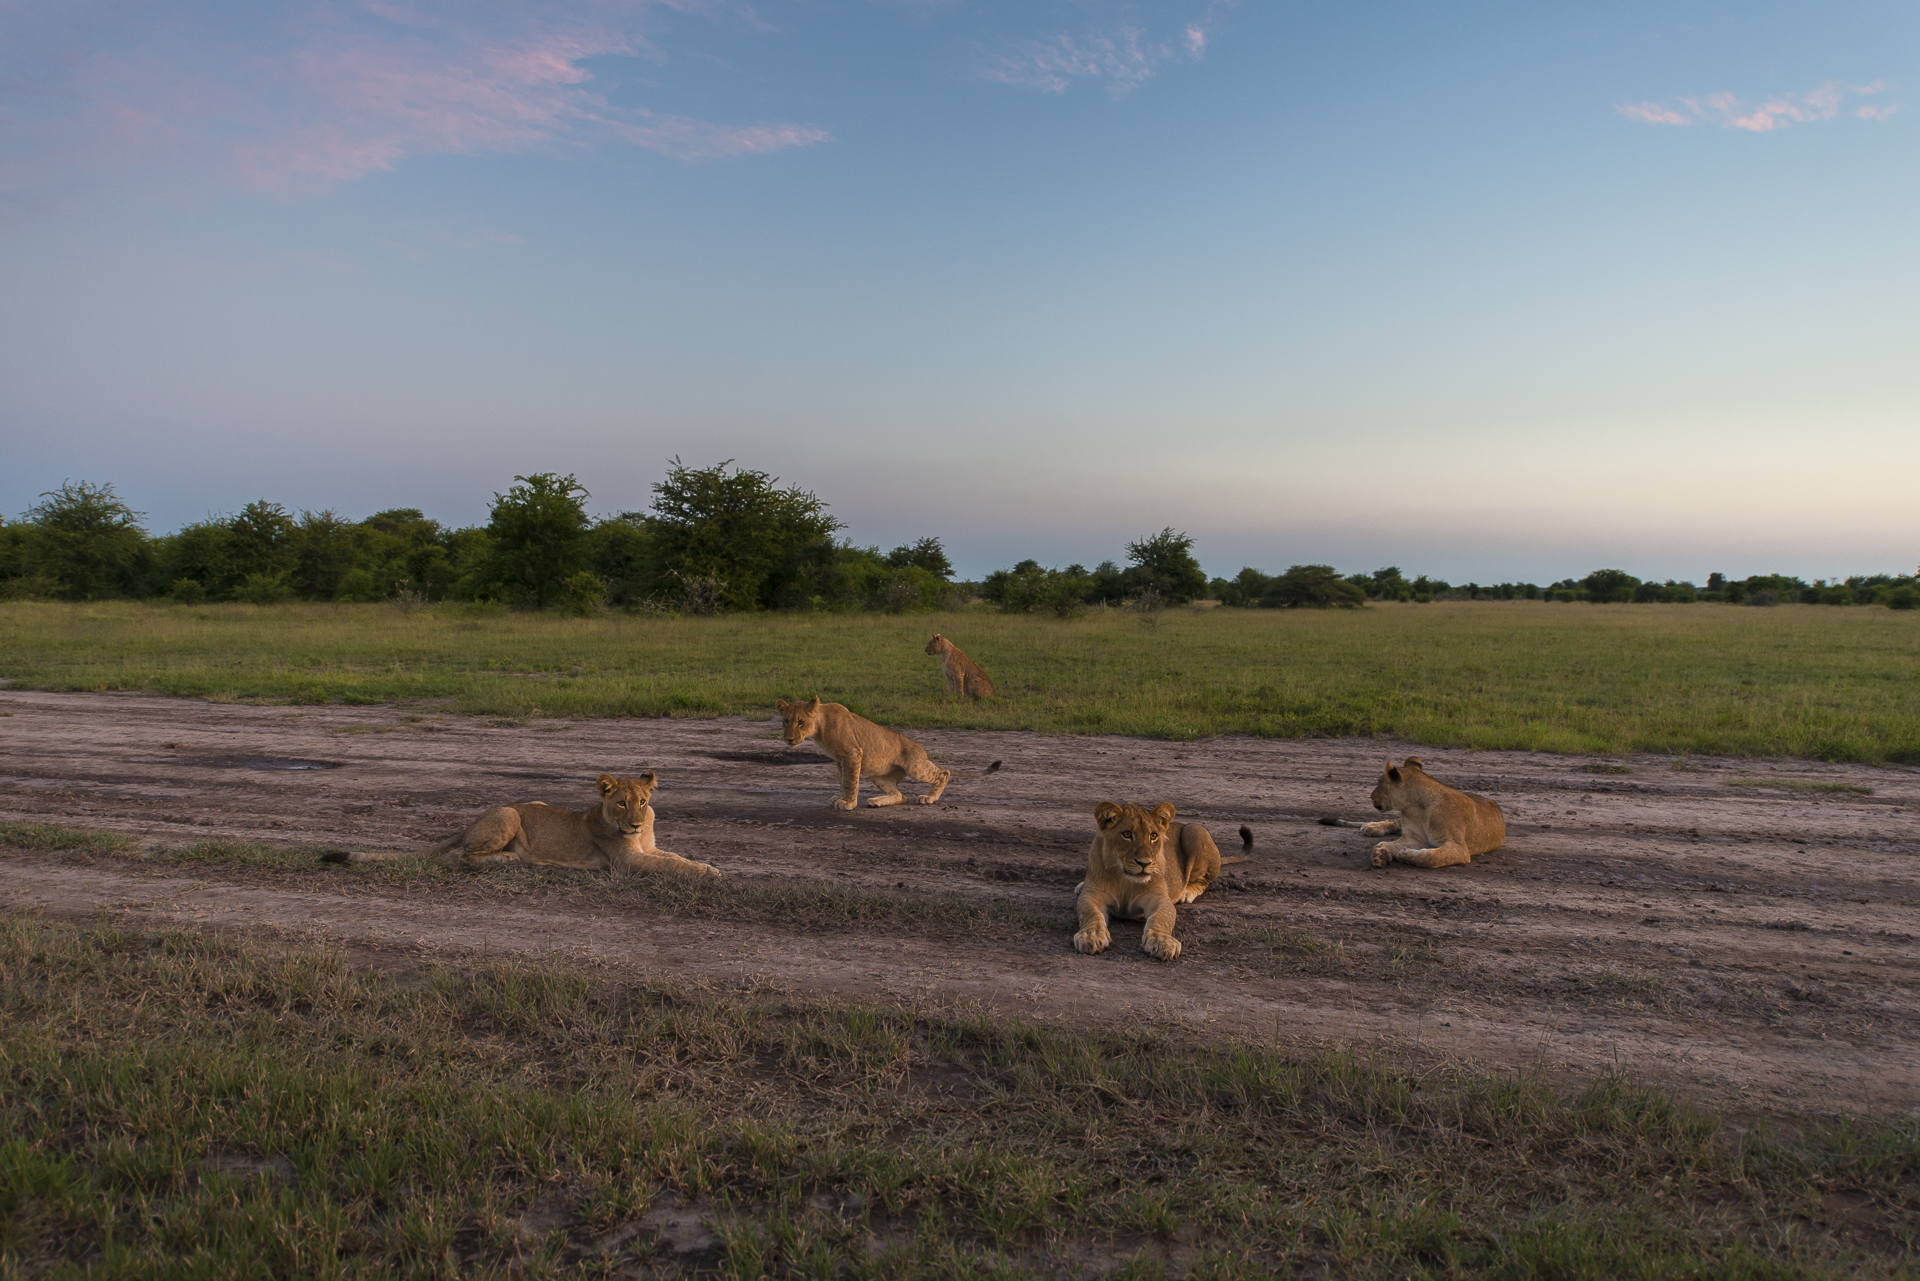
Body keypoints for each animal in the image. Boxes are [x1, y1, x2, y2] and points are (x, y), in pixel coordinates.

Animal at [319, 773, 719, 877]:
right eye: (621, 803)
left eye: (643, 802)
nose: (635, 824)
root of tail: (472, 820)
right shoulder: (626, 862)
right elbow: (672, 866)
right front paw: (710, 873)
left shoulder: (647, 847)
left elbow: (676, 858)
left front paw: (709, 865)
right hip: (510, 815)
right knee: (463, 857)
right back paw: (512, 859)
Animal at [776, 696, 951, 809]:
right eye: (786, 721)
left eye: (801, 722)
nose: (789, 739)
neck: (819, 728)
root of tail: (922, 750)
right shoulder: (840, 760)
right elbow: (842, 780)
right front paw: (840, 798)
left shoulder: (852, 753)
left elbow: (850, 781)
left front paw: (848, 804)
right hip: (878, 777)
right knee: (901, 796)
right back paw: (876, 801)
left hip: (915, 767)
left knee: (944, 773)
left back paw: (930, 797)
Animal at [1072, 801, 1249, 961]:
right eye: (1127, 834)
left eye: (1153, 836)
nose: (1144, 863)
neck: (1125, 880)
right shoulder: (1093, 896)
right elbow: (1090, 913)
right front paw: (1091, 935)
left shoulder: (1159, 899)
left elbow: (1161, 919)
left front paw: (1162, 942)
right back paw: (1081, 886)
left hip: (1195, 831)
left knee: (1202, 880)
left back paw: (1187, 892)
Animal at [1360, 756, 1505, 869]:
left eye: (1379, 782)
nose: (1371, 796)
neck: (1415, 808)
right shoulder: (1414, 838)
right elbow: (1391, 843)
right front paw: (1381, 853)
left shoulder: (1459, 848)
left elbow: (1430, 857)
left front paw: (1405, 854)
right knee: (1396, 821)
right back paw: (1372, 826)